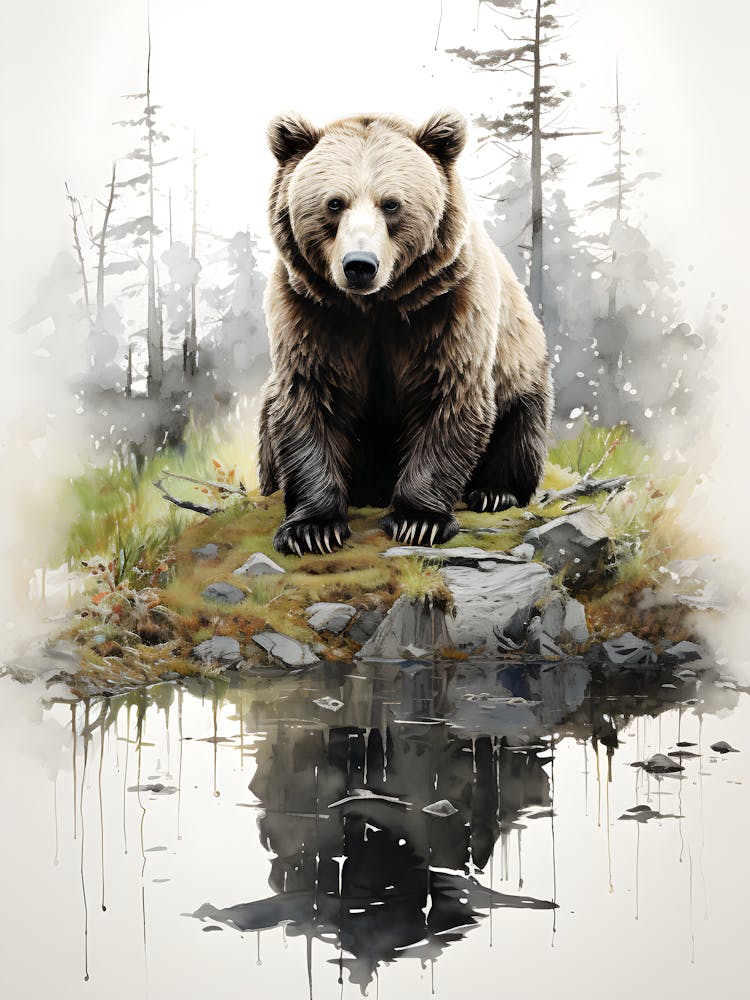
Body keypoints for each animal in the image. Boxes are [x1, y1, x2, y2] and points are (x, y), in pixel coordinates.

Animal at [257, 109, 552, 556]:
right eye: (334, 203)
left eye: (391, 203)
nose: (359, 265)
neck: (375, 306)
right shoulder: (310, 311)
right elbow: (308, 398)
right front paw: (311, 528)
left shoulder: (448, 306)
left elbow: (447, 395)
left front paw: (419, 520)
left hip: (522, 366)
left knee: (520, 427)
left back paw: (493, 492)